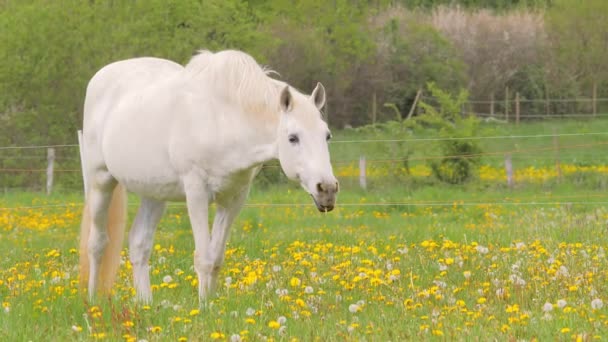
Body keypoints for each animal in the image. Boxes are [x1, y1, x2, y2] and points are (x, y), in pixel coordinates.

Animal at [78, 48, 340, 302]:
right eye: (293, 138)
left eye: (327, 135)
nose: (327, 189)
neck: (223, 120)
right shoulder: (197, 193)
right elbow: (203, 258)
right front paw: (203, 308)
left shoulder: (233, 199)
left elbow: (216, 258)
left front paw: (212, 305)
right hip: (100, 181)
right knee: (97, 243)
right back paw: (92, 299)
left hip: (154, 195)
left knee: (139, 243)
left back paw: (145, 302)